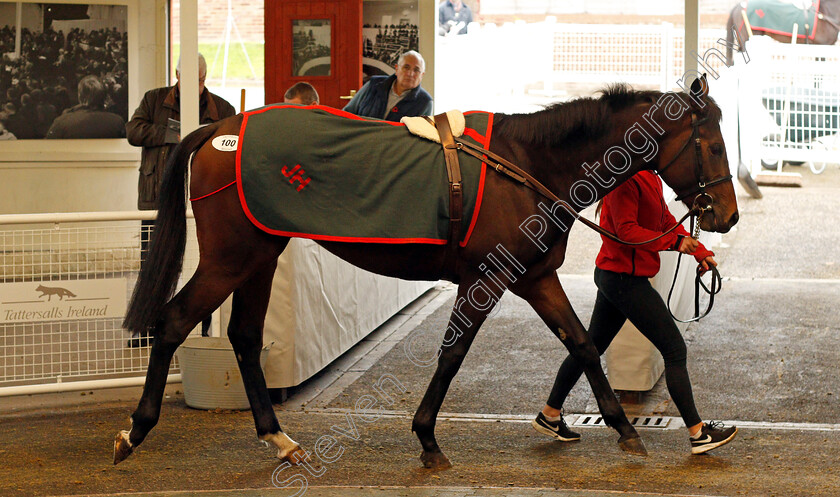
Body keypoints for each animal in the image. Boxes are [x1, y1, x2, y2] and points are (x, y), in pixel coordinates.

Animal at [115, 77, 740, 468]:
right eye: (712, 145)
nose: (728, 215)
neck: (528, 165)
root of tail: (220, 131)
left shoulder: (535, 279)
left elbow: (582, 343)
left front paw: (623, 429)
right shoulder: (485, 279)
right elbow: (453, 353)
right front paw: (427, 437)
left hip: (260, 256)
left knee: (245, 338)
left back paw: (280, 439)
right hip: (231, 258)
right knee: (174, 322)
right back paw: (134, 430)